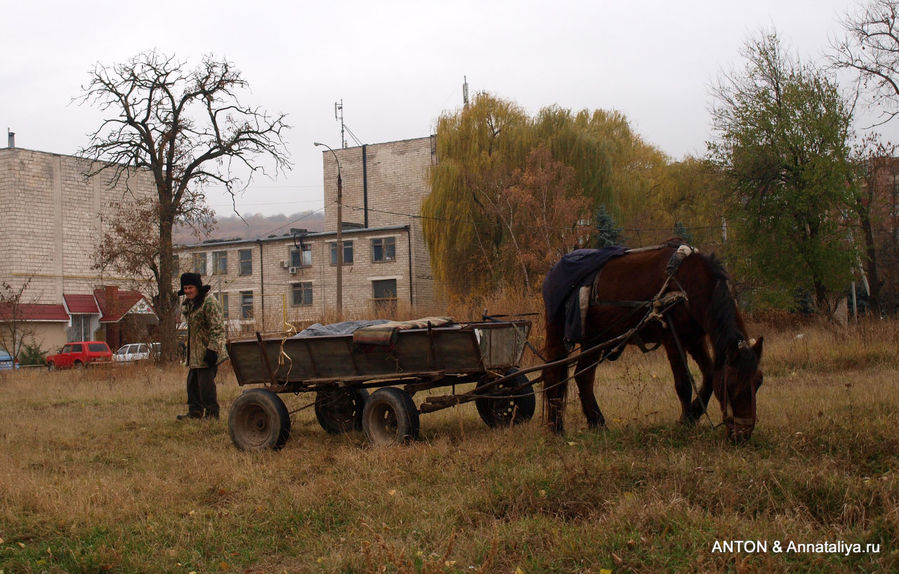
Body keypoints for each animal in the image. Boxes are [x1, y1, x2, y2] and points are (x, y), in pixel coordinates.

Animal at [540, 241, 768, 444]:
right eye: (732, 385)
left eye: (758, 382)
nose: (743, 435)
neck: (688, 284)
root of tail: (553, 272)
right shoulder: (672, 339)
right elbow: (683, 383)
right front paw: (685, 422)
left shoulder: (695, 339)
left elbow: (710, 375)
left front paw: (694, 414)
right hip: (559, 334)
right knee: (553, 374)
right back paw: (557, 428)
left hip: (595, 339)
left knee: (583, 376)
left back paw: (597, 423)